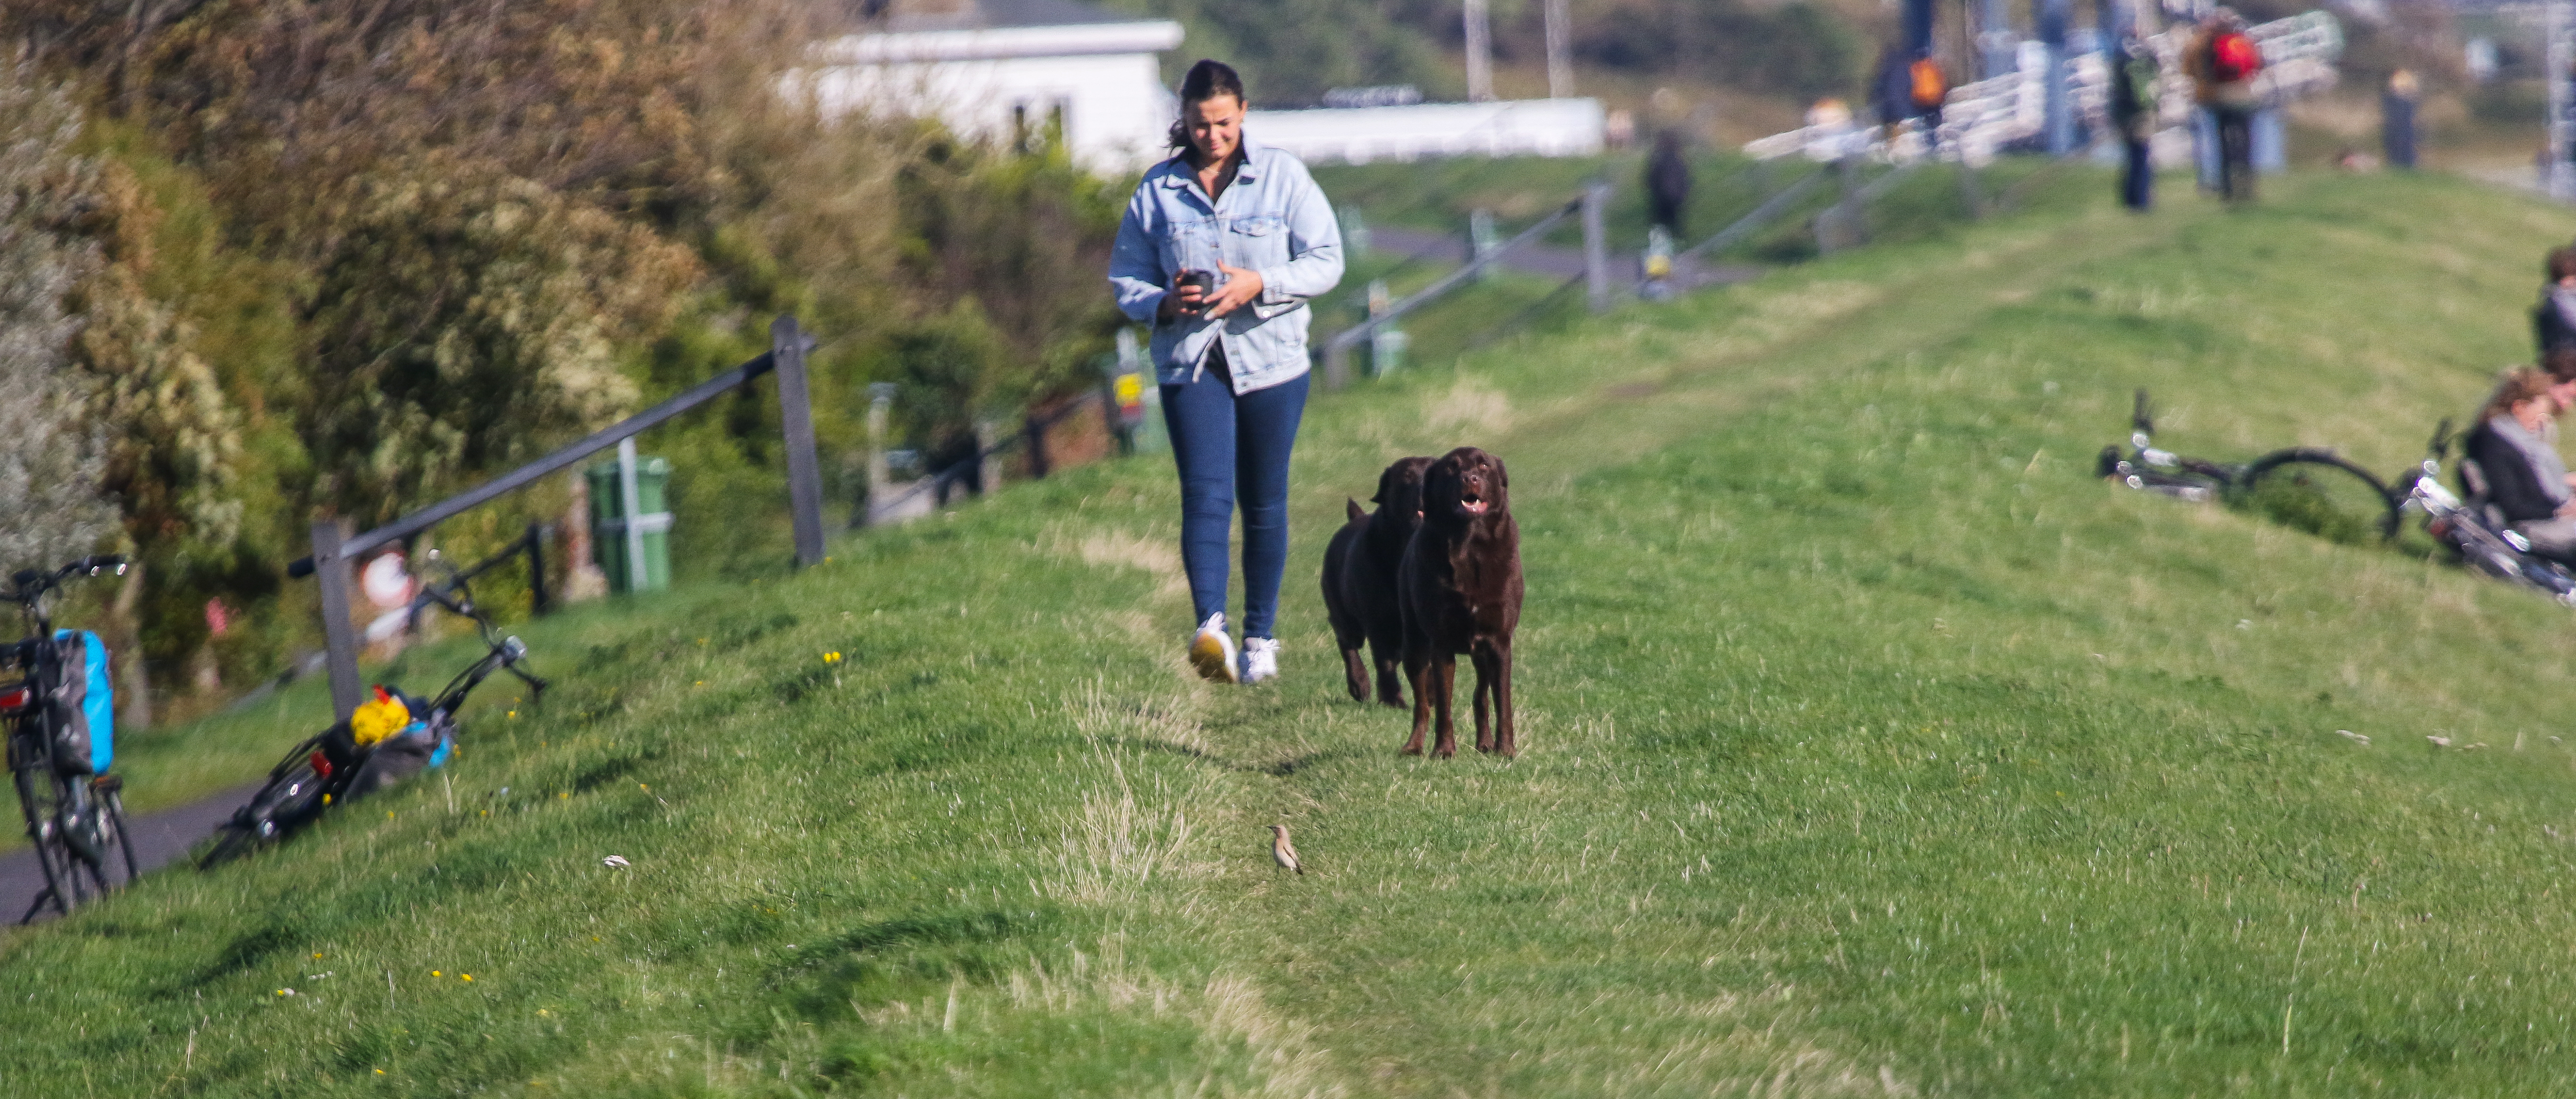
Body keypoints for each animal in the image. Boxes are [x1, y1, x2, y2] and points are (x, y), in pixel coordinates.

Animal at [1329, 461, 1432, 710]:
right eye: (1407, 475)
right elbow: (1385, 663)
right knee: (1346, 640)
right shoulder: (1378, 622)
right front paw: (1393, 701)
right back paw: (1359, 685)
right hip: (1346, 617)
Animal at [1401, 448, 1514, 757]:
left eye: (1484, 466)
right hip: (1413, 646)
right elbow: (1443, 703)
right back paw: (1413, 746)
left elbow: (1503, 702)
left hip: (1482, 654)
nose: (1470, 478)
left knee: (1481, 696)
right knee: (1422, 703)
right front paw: (1443, 751)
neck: (1469, 546)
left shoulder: (1499, 640)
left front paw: (1506, 750)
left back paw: (1486, 744)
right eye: (1451, 469)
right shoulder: (1440, 643)